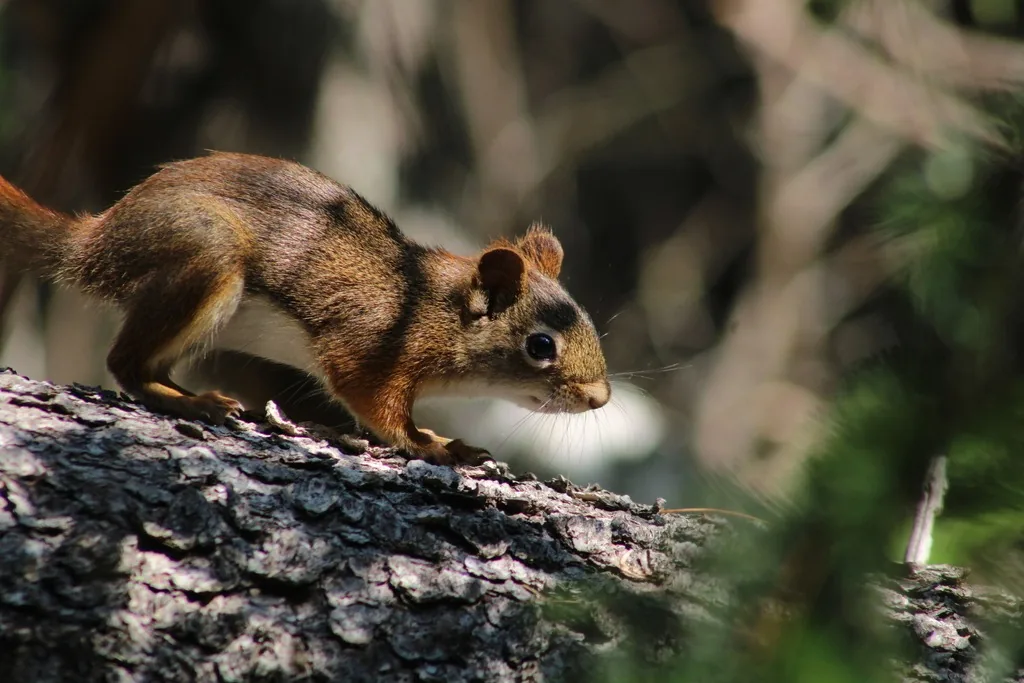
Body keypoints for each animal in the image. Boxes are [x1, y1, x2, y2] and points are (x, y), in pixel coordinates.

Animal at [0, 152, 610, 465]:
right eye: (541, 345)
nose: (600, 399)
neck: (431, 309)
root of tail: (96, 242)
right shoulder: (368, 347)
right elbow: (384, 413)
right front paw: (437, 445)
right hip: (205, 256)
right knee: (127, 364)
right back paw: (194, 403)